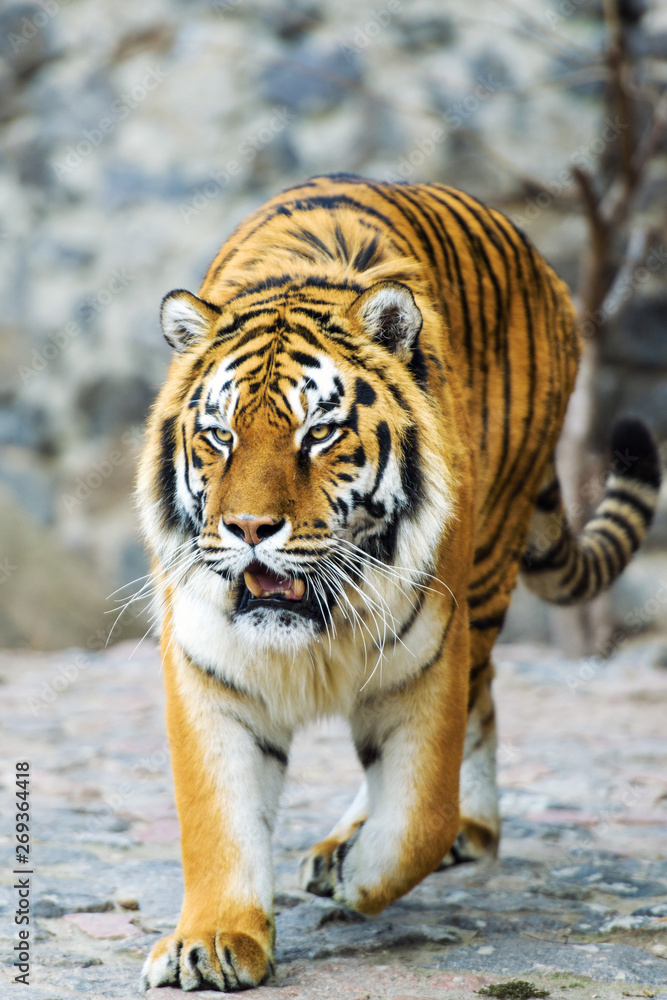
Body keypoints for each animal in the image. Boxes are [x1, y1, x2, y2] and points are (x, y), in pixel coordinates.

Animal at [137, 174, 660, 992]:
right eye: (219, 436)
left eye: (318, 433)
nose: (249, 527)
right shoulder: (208, 666)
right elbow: (217, 816)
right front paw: (214, 941)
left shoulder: (429, 656)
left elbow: (418, 816)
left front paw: (360, 876)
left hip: (485, 576)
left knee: (478, 705)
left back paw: (436, 835)